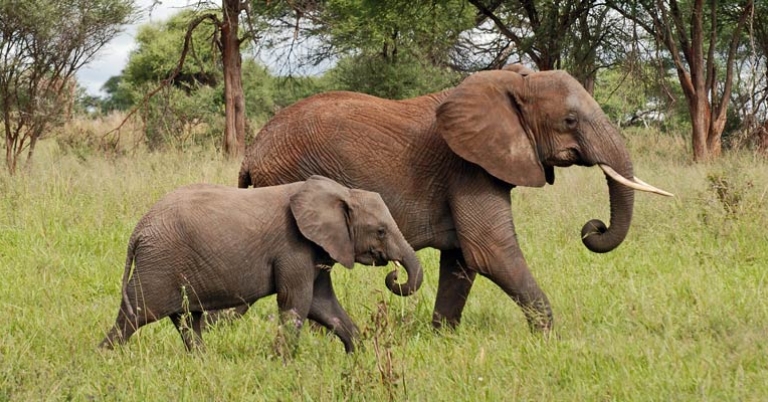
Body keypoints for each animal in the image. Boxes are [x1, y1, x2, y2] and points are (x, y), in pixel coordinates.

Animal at [99, 175, 423, 354]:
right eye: (380, 231)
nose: (394, 275)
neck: (341, 192)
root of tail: (138, 231)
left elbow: (324, 305)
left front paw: (358, 355)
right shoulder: (293, 248)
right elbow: (297, 303)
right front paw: (283, 363)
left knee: (187, 320)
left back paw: (203, 361)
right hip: (159, 263)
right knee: (136, 314)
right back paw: (105, 357)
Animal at [237, 65, 672, 333]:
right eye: (570, 120)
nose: (593, 227)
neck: (513, 83)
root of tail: (251, 154)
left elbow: (462, 260)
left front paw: (441, 336)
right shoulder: (468, 166)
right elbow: (490, 251)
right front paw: (549, 336)